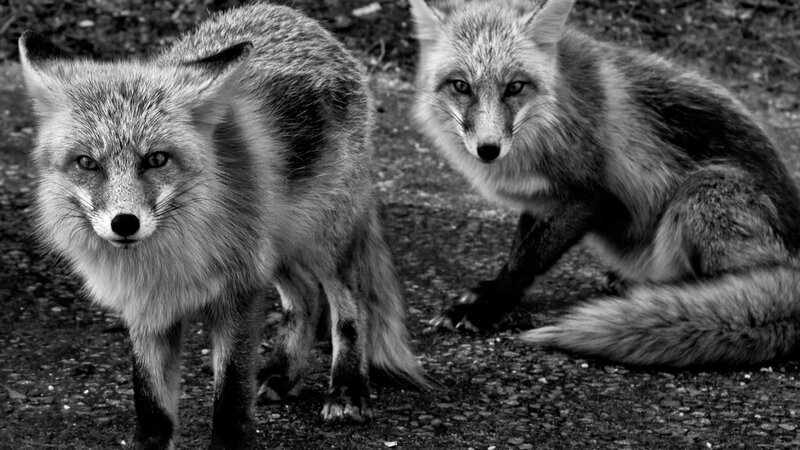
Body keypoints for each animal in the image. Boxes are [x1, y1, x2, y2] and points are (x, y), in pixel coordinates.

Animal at [19, 3, 427, 448]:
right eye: (87, 163)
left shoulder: (240, 288)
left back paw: (349, 389)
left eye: (157, 159)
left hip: (322, 240)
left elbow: (231, 392)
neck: (168, 260)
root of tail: (300, 19)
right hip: (276, 244)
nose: (124, 223)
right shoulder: (146, 307)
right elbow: (150, 401)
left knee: (350, 307)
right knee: (304, 297)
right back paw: (283, 375)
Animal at [409, 0, 800, 368]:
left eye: (514, 87)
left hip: (702, 192)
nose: (488, 149)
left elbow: (529, 259)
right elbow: (519, 251)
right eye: (461, 86)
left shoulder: (592, 197)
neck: (551, 118)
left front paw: (488, 306)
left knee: (730, 286)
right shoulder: (540, 200)